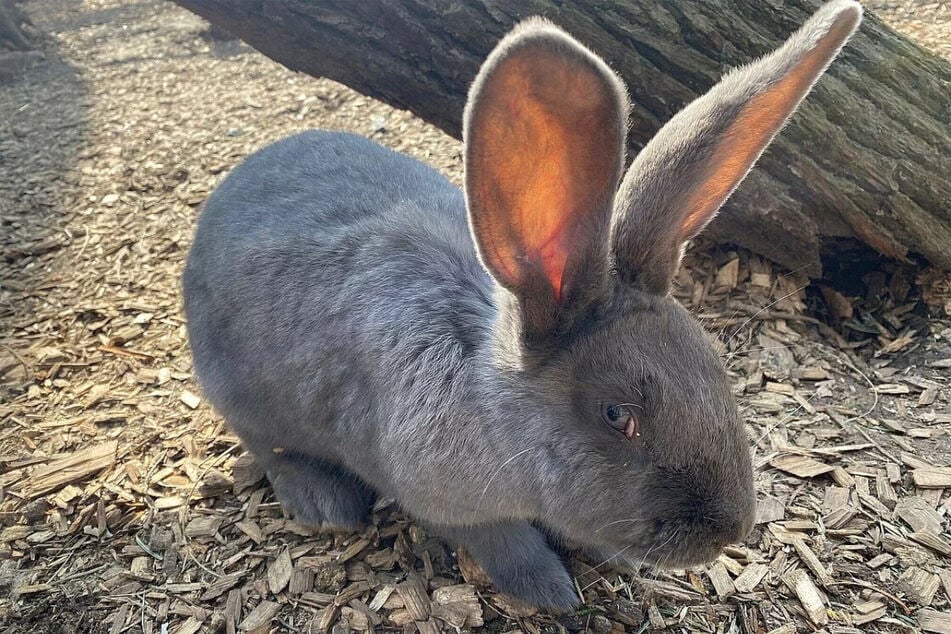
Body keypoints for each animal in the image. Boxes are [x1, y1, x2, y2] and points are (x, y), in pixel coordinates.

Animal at [184, 1, 864, 612]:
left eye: (717, 371)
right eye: (618, 415)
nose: (729, 531)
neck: (487, 396)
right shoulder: (450, 503)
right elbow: (504, 543)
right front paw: (553, 593)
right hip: (242, 392)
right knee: (268, 447)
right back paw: (324, 503)